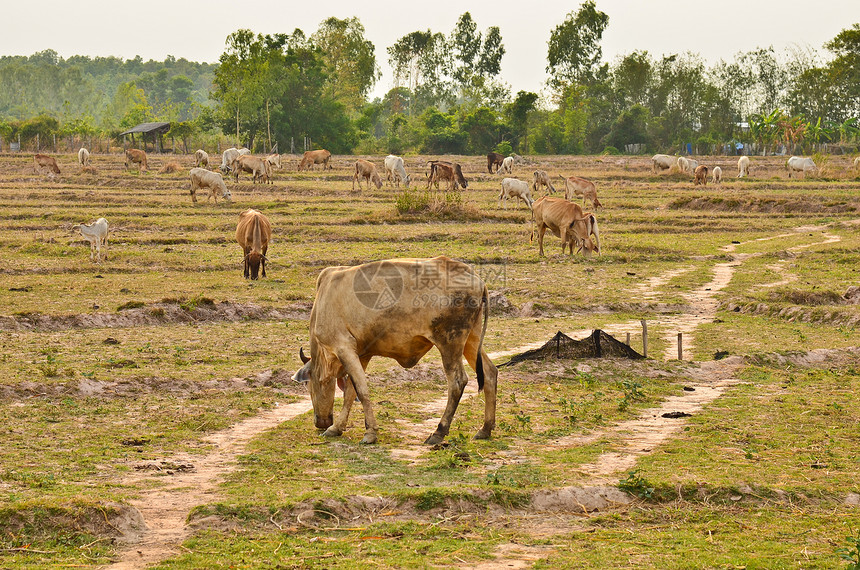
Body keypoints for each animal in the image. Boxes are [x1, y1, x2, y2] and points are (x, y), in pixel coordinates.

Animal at [290, 255, 498, 446]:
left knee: (457, 381)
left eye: (308, 385)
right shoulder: (362, 354)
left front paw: (370, 432)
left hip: (450, 343)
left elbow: (361, 391)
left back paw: (439, 432)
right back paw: (485, 429)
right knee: (489, 372)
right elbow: (350, 392)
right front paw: (337, 428)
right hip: (472, 341)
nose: (320, 422)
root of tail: (476, 279)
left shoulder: (344, 348)